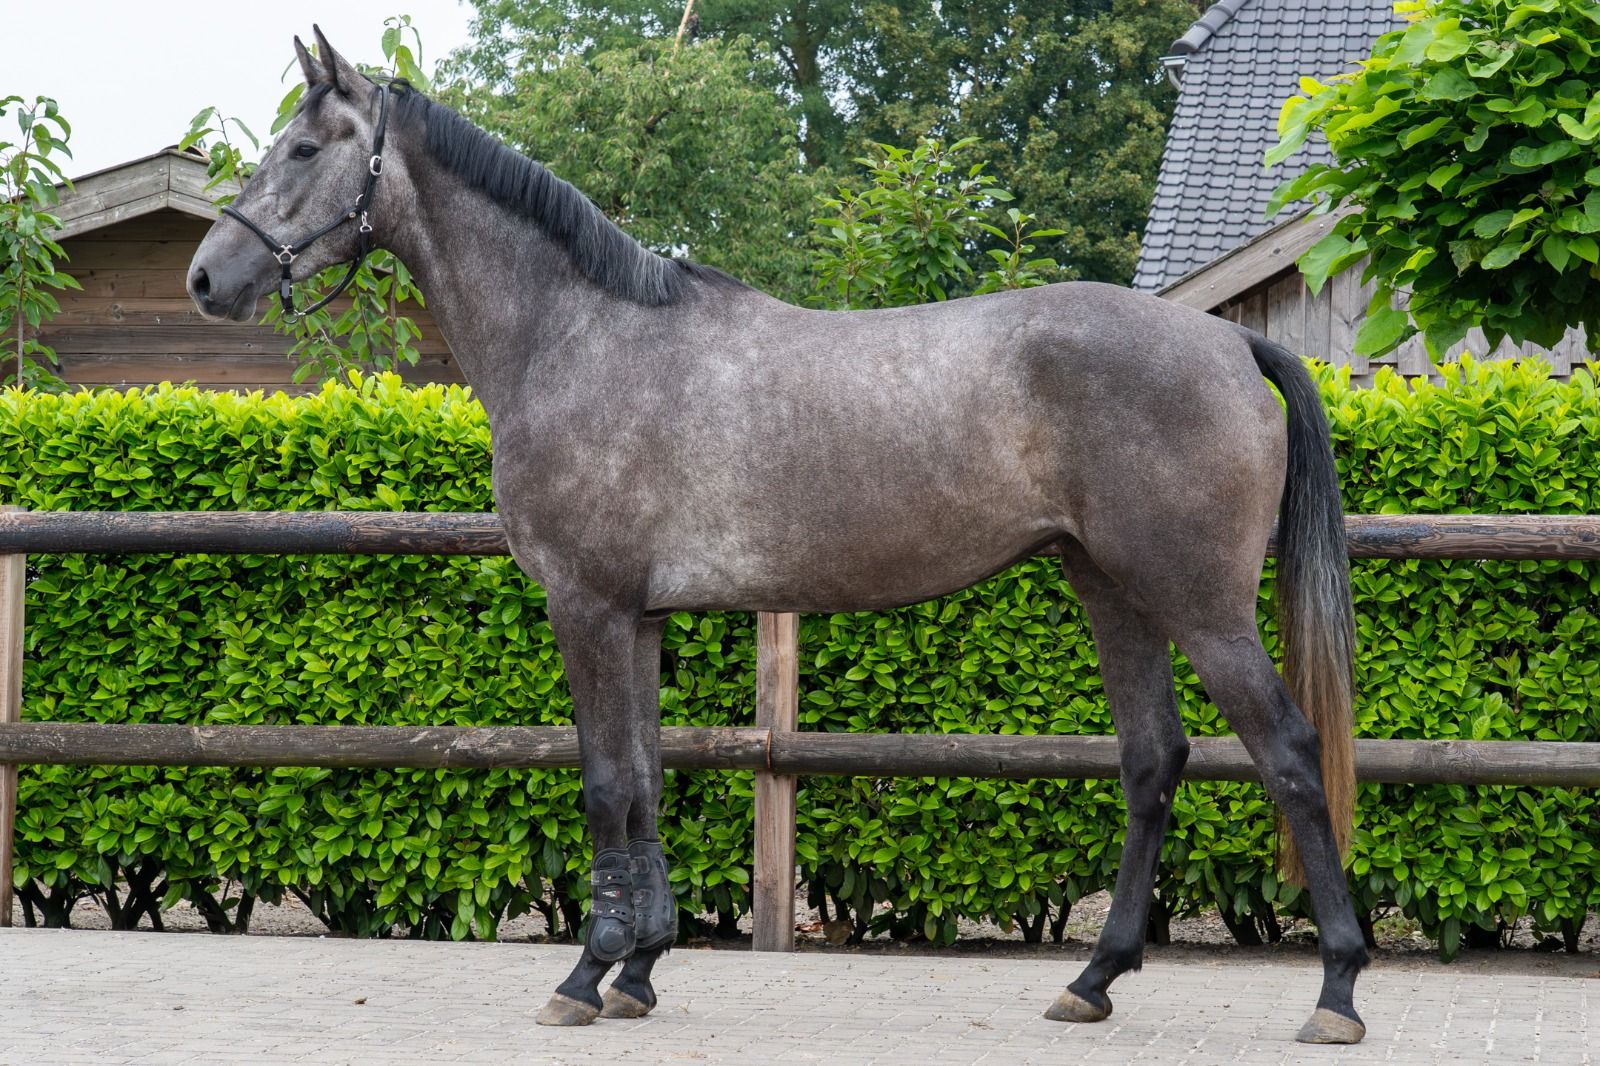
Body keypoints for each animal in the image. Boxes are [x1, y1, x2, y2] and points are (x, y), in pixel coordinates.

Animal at [187, 28, 1368, 1044]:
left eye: (302, 149)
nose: (206, 278)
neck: (579, 333)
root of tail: (1227, 345)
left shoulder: (587, 607)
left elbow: (605, 783)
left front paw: (584, 974)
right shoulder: (640, 618)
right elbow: (644, 778)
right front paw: (638, 971)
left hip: (1198, 603)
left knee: (1289, 750)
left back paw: (1338, 991)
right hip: (1110, 588)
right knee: (1153, 761)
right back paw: (1092, 980)